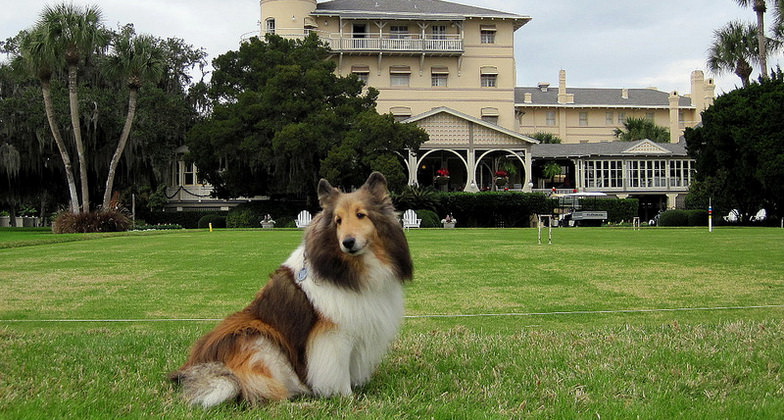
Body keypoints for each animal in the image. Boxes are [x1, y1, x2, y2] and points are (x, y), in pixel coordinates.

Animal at [168, 171, 414, 406]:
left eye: (361, 215)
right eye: (338, 220)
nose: (348, 242)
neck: (352, 268)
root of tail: (192, 370)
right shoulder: (333, 336)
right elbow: (338, 372)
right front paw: (347, 397)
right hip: (257, 340)